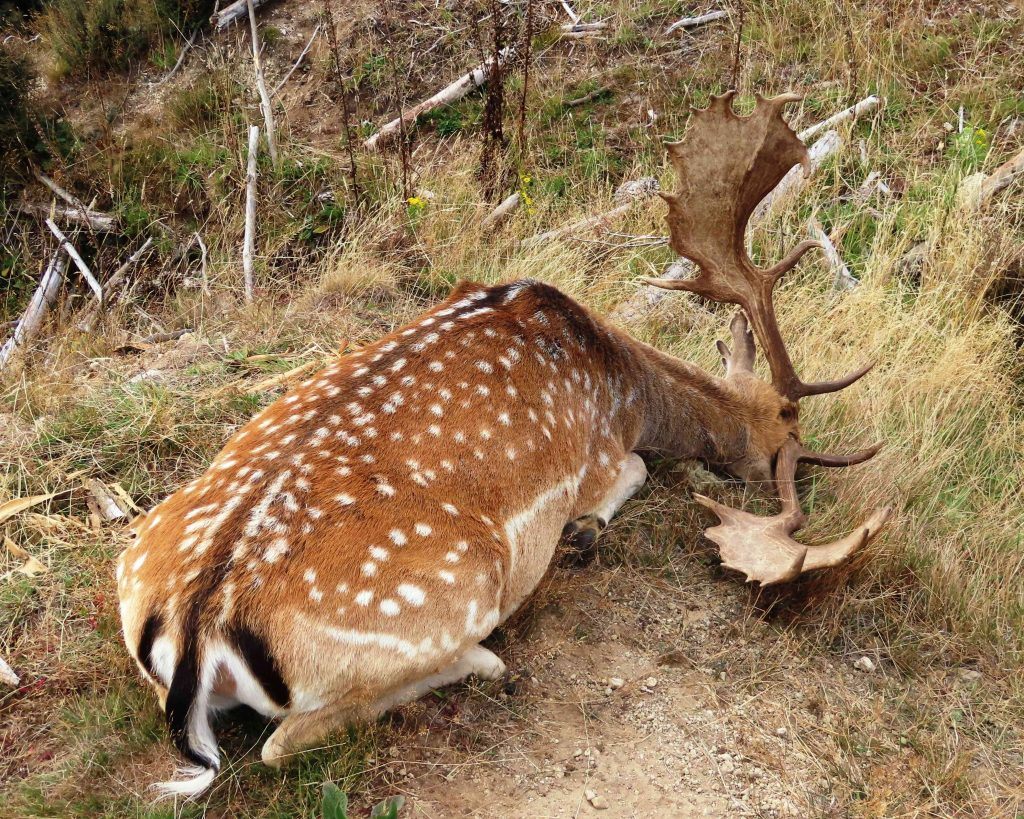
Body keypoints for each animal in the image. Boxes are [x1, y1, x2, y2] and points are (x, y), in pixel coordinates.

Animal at [116, 92, 888, 798]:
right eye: (787, 431)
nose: (791, 470)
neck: (621, 381)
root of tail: (198, 628)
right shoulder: (600, 453)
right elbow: (636, 469)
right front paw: (584, 528)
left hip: (131, 566)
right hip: (458, 589)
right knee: (285, 740)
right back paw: (485, 661)